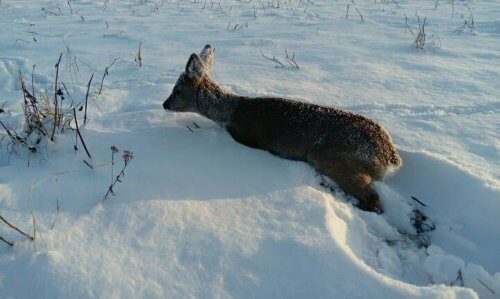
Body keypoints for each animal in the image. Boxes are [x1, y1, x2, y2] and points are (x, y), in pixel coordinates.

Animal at [164, 45, 402, 213]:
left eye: (177, 90)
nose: (164, 104)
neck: (228, 112)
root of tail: (390, 154)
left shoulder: (247, 138)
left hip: (330, 153)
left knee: (373, 198)